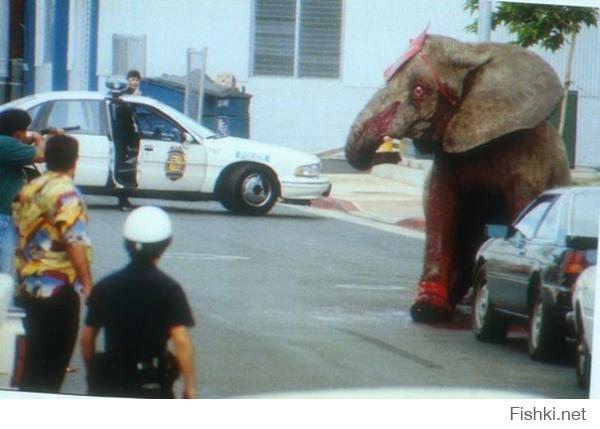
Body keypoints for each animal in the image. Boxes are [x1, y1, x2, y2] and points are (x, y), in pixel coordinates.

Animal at [344, 30, 568, 322]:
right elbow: (441, 205)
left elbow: (524, 207)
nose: (391, 153)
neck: (471, 51)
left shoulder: (526, 156)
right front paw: (427, 309)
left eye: (419, 91)